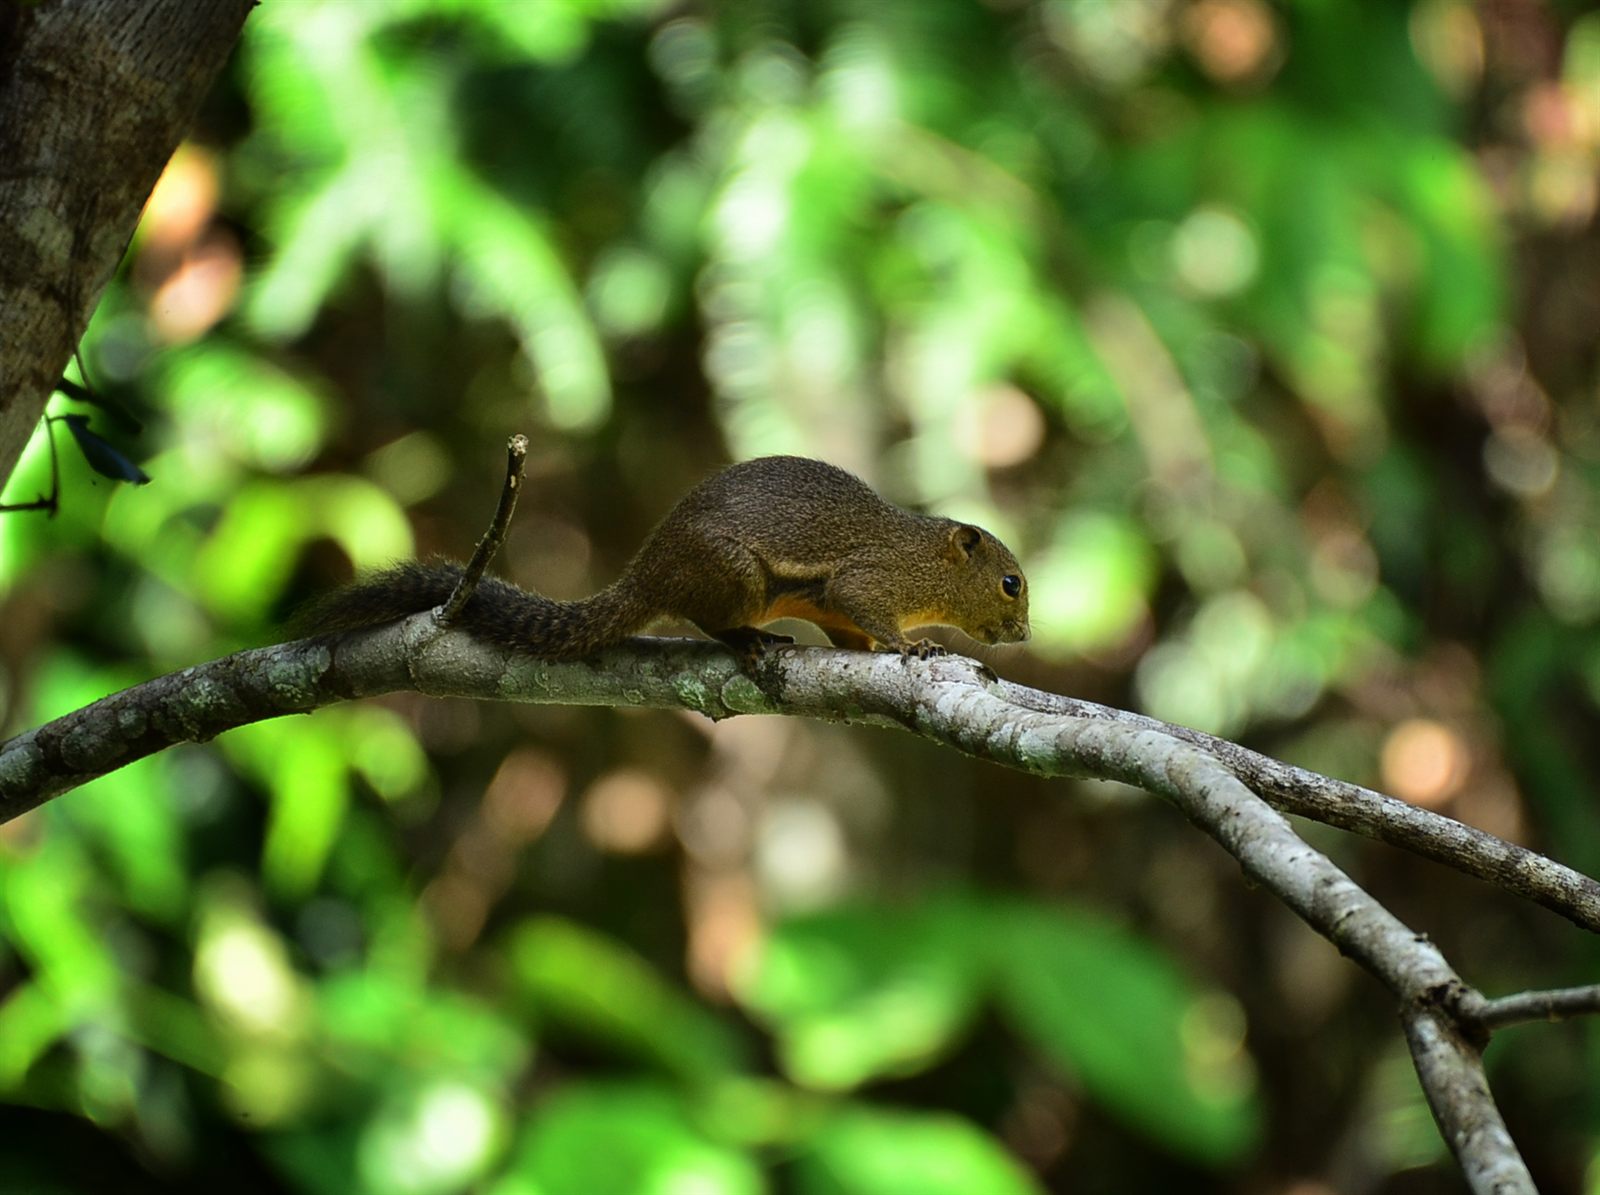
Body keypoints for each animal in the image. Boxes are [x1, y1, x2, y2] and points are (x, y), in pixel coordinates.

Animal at [298, 455, 1030, 660]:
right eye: (1011, 583)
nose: (1024, 635)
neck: (926, 563)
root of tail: (646, 575)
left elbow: (849, 630)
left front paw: (880, 649)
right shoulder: (871, 578)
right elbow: (863, 605)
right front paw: (911, 646)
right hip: (734, 576)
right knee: (706, 619)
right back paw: (748, 638)